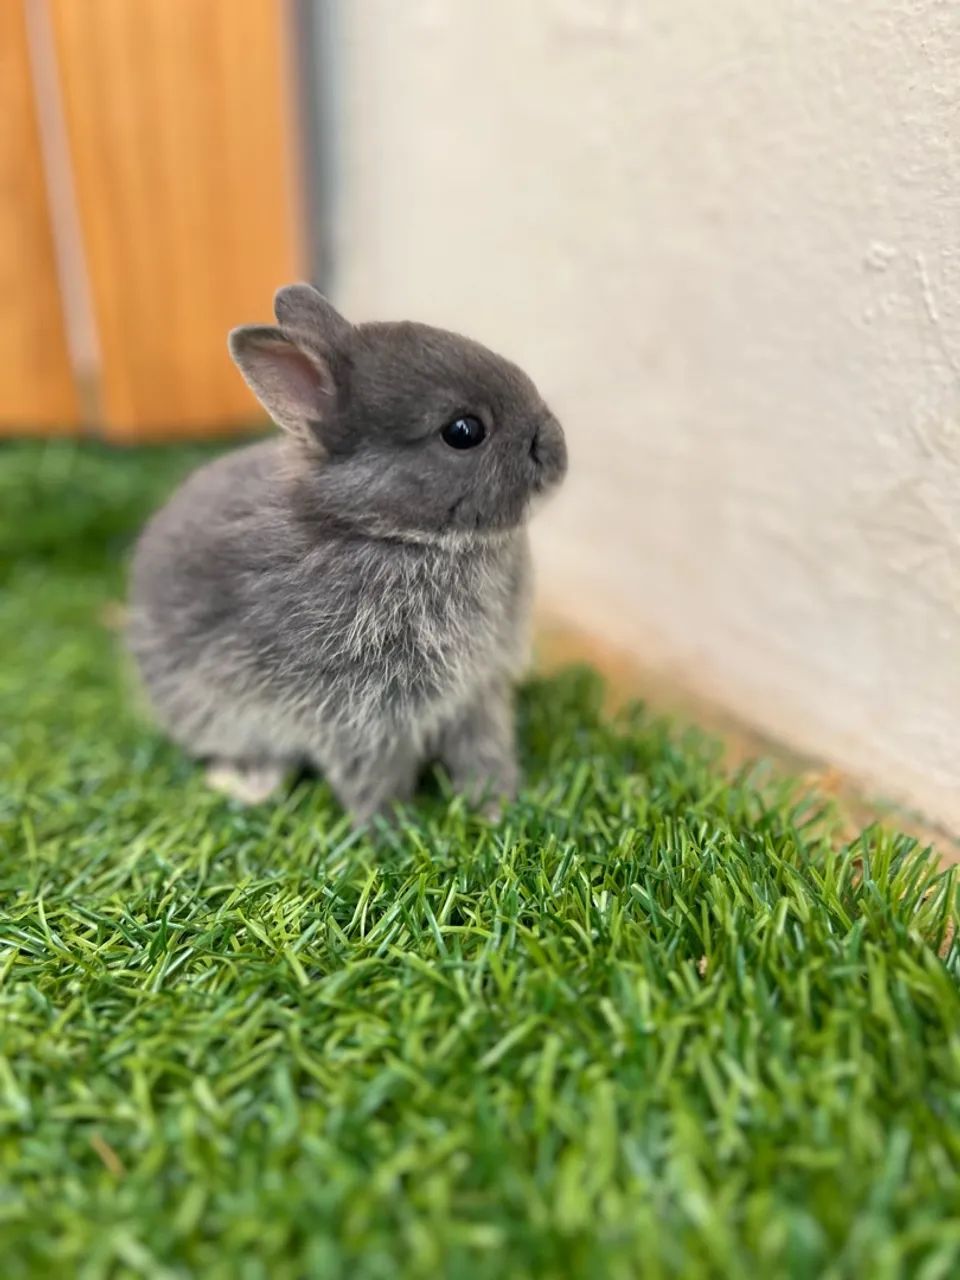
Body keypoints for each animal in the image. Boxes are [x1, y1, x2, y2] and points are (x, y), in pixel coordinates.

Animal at [127, 283, 567, 823]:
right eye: (463, 432)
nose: (557, 448)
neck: (393, 535)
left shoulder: (477, 694)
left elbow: (482, 751)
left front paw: (496, 808)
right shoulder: (359, 712)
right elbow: (373, 776)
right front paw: (392, 830)